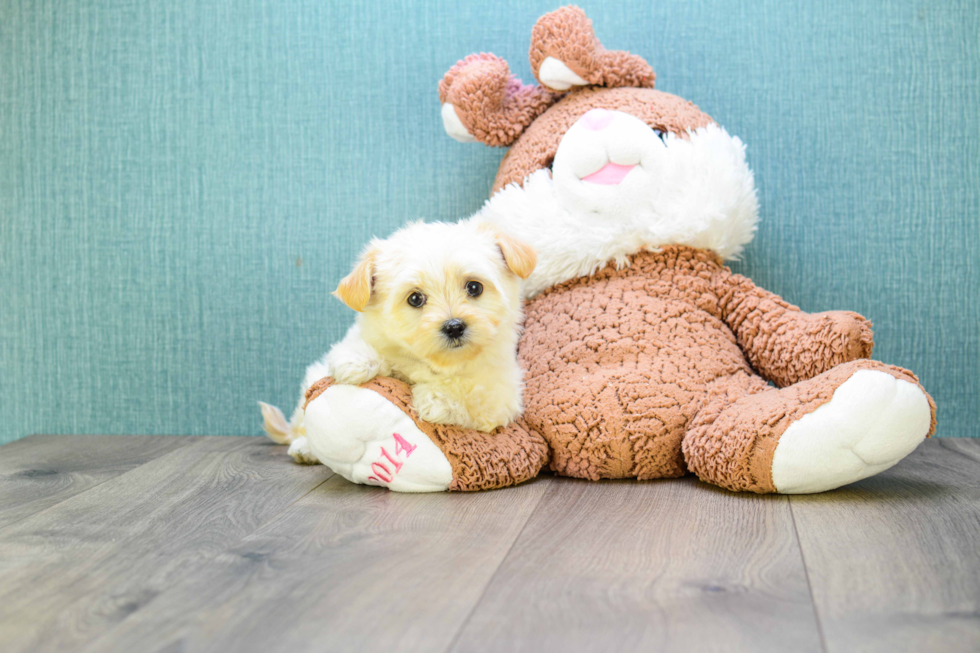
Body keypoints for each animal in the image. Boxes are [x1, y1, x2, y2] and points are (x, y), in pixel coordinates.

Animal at [260, 219, 536, 458]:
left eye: (474, 287)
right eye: (415, 298)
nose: (454, 326)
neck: (434, 363)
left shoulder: (502, 393)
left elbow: (473, 390)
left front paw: (437, 399)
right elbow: (365, 350)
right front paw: (356, 361)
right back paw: (304, 448)